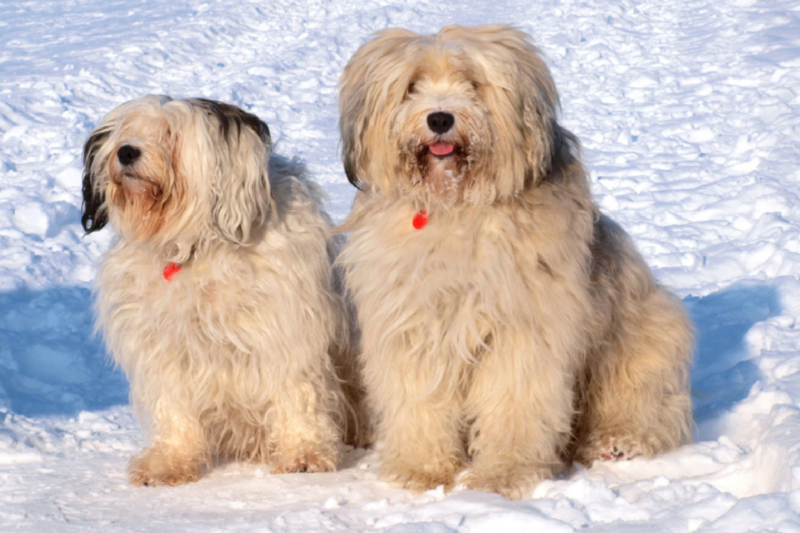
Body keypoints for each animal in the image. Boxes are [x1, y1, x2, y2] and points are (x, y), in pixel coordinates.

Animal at [80, 95, 362, 486]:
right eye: (127, 131)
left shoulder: (287, 331)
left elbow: (296, 393)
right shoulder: (164, 346)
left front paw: (304, 454)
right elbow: (174, 407)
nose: (126, 152)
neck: (194, 248)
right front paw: (169, 461)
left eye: (171, 133)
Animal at [334, 25, 692, 498]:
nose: (440, 119)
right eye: (412, 86)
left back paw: (618, 439)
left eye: (472, 83)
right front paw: (421, 468)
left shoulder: (522, 330)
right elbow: (420, 398)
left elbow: (514, 401)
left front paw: (503, 474)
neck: (455, 209)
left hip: (647, 333)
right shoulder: (413, 325)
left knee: (649, 405)